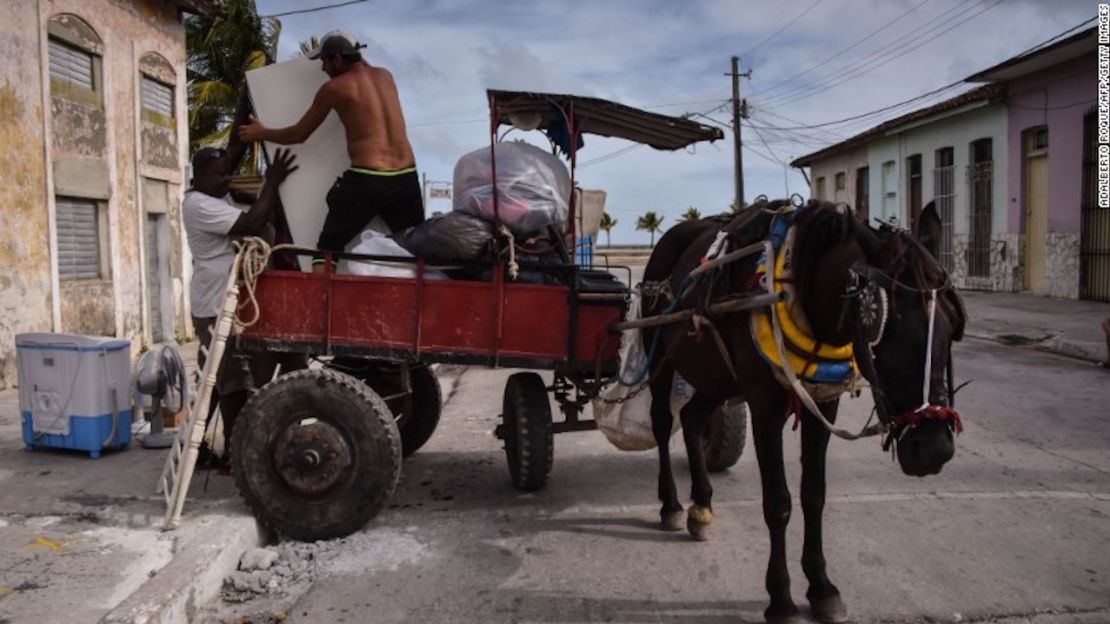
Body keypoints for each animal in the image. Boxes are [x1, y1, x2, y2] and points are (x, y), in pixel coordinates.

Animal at [639, 197, 967, 621]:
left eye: (950, 325)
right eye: (883, 326)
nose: (933, 449)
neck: (800, 289)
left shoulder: (823, 403)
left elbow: (814, 495)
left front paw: (822, 587)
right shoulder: (764, 406)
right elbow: (778, 503)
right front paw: (781, 599)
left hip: (717, 375)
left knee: (693, 418)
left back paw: (702, 506)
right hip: (659, 354)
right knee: (664, 423)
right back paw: (673, 505)